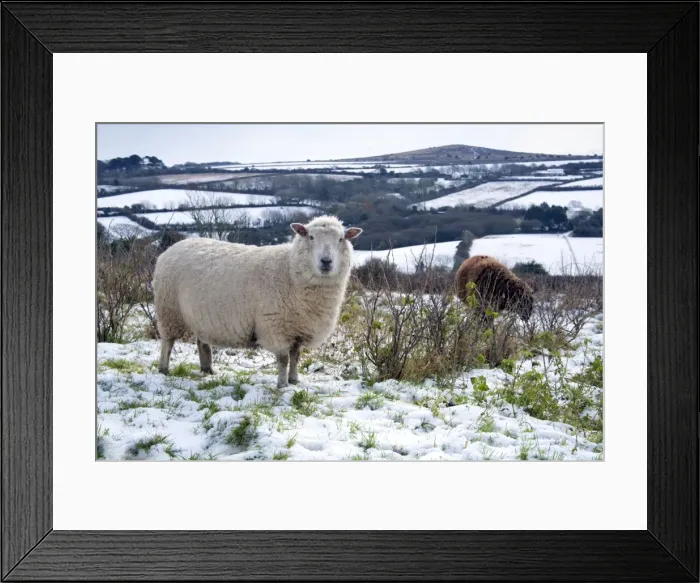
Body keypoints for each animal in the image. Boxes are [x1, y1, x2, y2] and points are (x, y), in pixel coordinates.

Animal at [152, 215, 363, 388]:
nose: (326, 261)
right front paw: (282, 385)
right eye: (311, 237)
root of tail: (170, 249)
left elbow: (295, 357)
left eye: (341, 239)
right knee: (167, 342)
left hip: (200, 316)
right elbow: (283, 359)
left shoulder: (297, 328)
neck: (290, 270)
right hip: (169, 309)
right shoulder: (275, 326)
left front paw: (294, 381)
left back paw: (207, 370)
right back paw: (164, 369)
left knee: (202, 342)